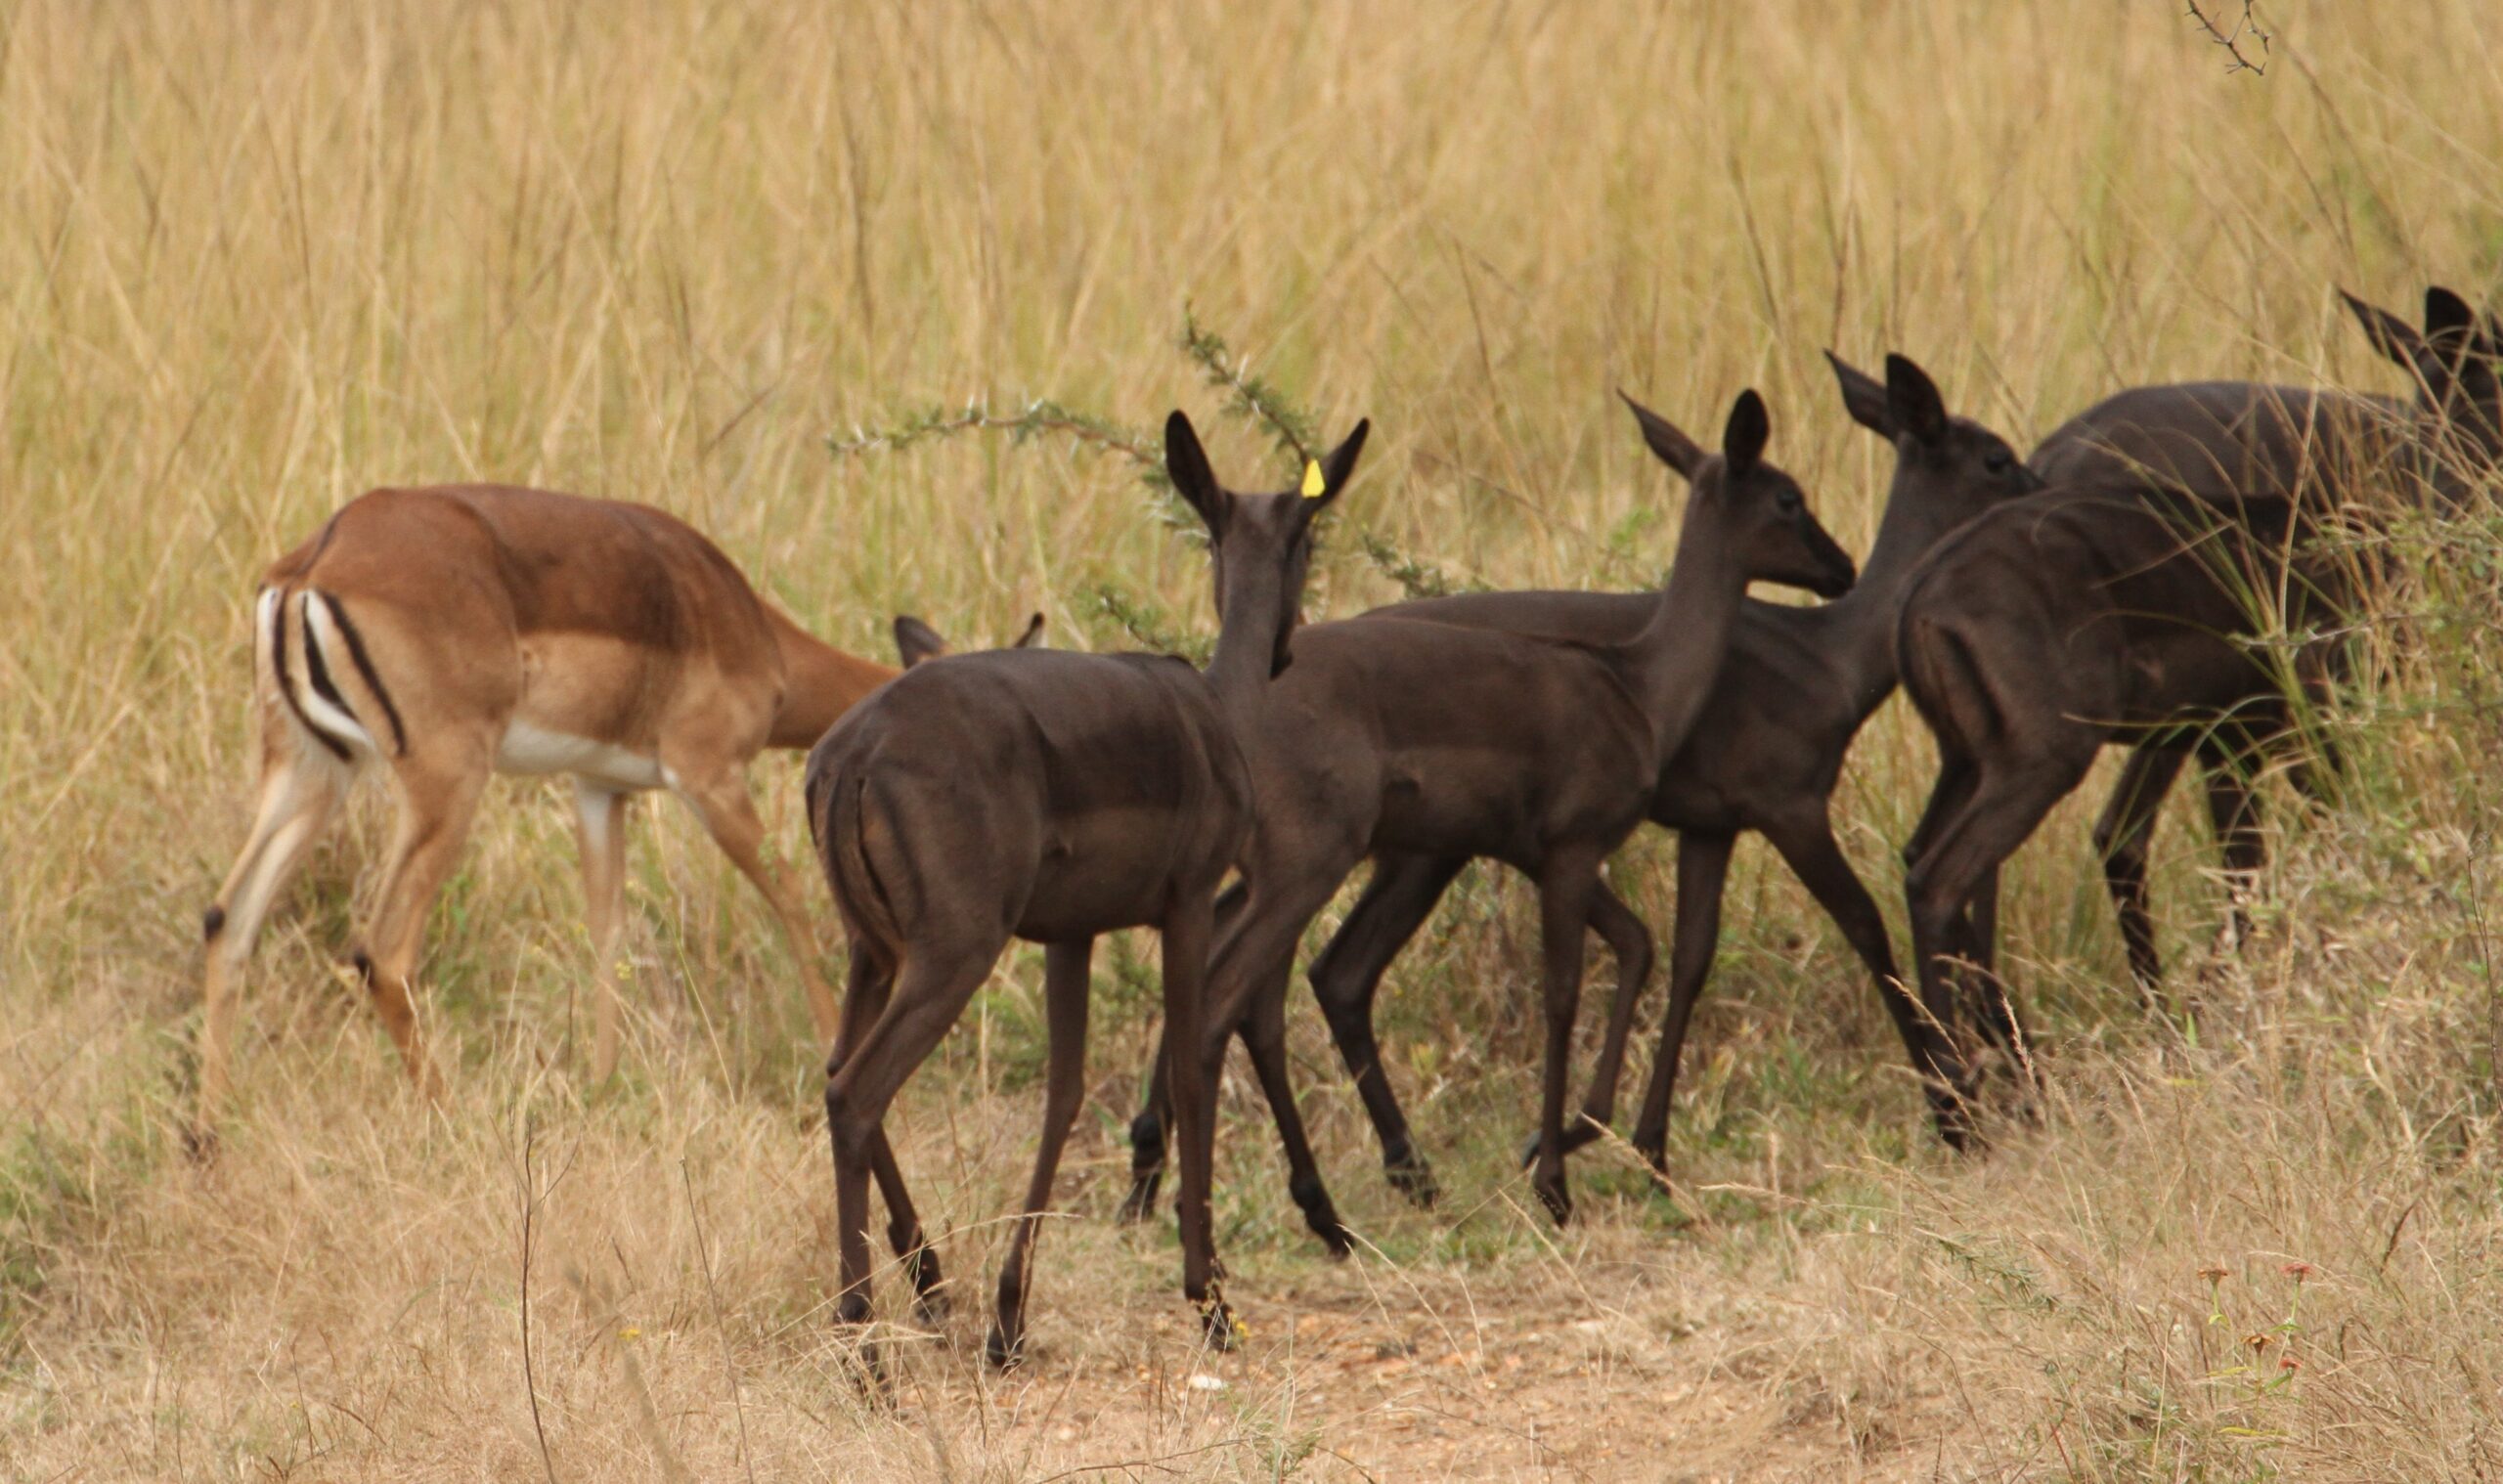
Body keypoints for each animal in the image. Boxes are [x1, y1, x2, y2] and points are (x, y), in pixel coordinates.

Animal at [195, 483, 1026, 1138]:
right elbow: (791, 897)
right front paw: (836, 1055)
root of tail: (314, 565)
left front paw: (600, 1087)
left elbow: (607, 930)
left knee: (229, 917)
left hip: (311, 772)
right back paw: (451, 1117)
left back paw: (210, 1132)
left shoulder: (599, 789)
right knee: (382, 951)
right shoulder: (709, 777)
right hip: (445, 782)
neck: (748, 629)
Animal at [804, 411, 1369, 1368]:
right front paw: (1210, 1301)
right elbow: (1189, 1069)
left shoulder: (1071, 936)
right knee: (856, 1094)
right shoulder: (1185, 904)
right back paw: (868, 1355)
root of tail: (852, 755)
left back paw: (927, 1288)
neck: (1214, 711)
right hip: (955, 952)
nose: (1290, 645)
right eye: (1310, 537)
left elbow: (1063, 1094)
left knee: (837, 1068)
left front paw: (1010, 1319)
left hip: (871, 951)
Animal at [1124, 388, 1860, 1237]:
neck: (1637, 686)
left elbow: (1637, 945)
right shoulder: (1572, 849)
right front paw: (1553, 1180)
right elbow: (1564, 992)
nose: (1843, 567)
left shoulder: (1537, 854)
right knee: (1250, 995)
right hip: (1316, 872)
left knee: (1265, 990)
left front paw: (1571, 1141)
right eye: (1788, 497)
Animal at [1166, 354, 2043, 1197]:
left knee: (1310, 970)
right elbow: (1863, 926)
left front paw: (1642, 1148)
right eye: (1996, 458)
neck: (1830, 658)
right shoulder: (1787, 810)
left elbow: (1687, 956)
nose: (1839, 565)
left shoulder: (1707, 829)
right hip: (1395, 856)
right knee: (1309, 974)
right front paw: (1953, 1110)